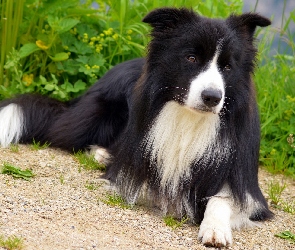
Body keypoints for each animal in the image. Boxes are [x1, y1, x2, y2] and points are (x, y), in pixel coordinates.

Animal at [0, 7, 274, 246]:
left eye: (227, 67)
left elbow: (224, 199)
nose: (212, 97)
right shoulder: (133, 169)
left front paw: (215, 229)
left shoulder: (246, 185)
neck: (188, 118)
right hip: (98, 115)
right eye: (191, 58)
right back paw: (101, 153)